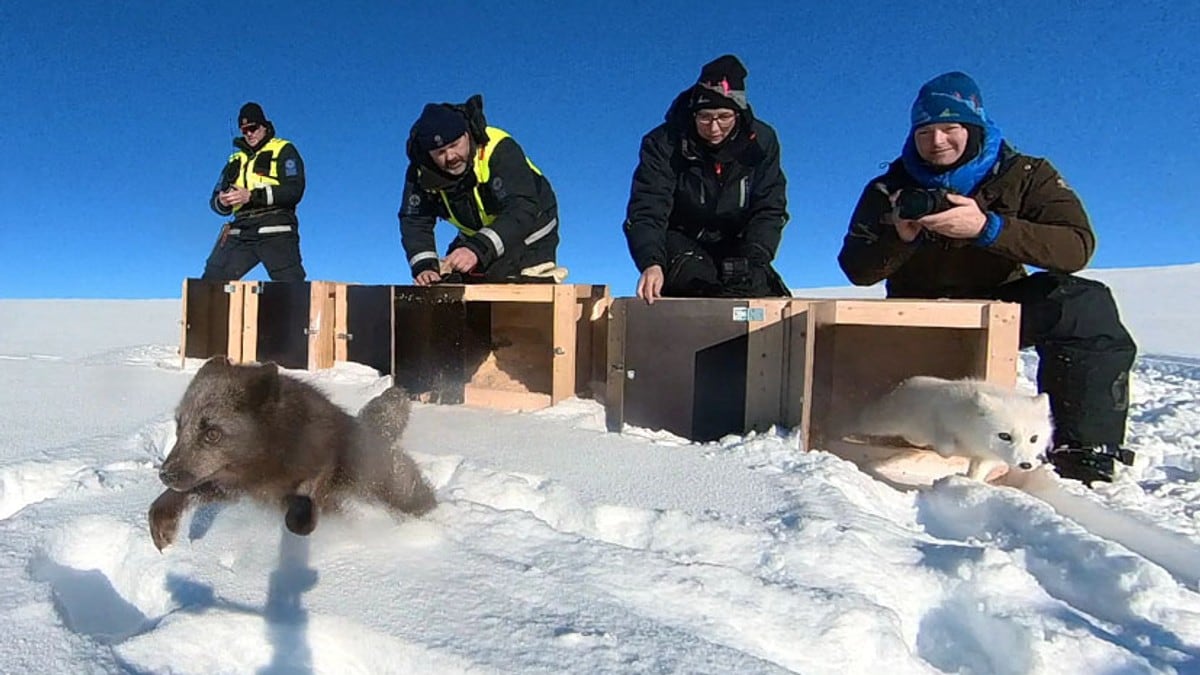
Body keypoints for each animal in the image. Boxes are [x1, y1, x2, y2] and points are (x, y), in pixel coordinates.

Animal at [147, 355, 434, 550]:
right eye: (179, 426)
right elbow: (173, 496)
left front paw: (302, 521)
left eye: (212, 434)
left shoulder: (319, 469)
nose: (165, 475)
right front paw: (162, 525)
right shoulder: (235, 487)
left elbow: (305, 497)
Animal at [849, 372, 1056, 478]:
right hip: (882, 423)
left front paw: (969, 481)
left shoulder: (987, 457)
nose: (1026, 465)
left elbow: (977, 471)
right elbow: (945, 447)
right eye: (1005, 436)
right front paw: (952, 452)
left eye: (1034, 439)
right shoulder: (940, 418)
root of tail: (905, 382)